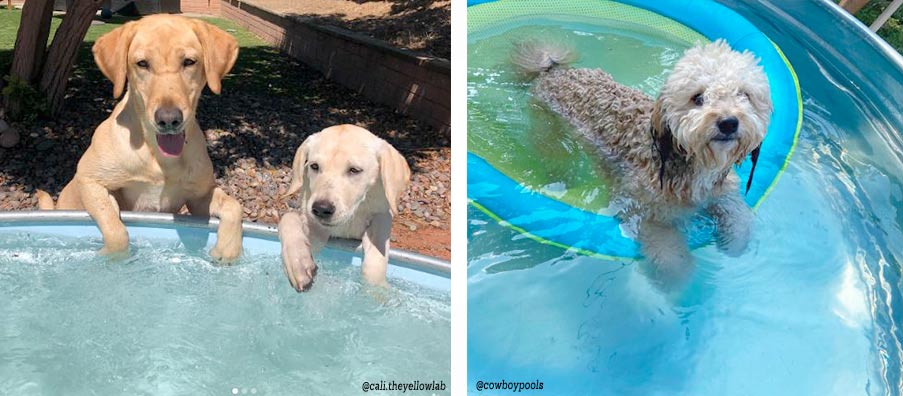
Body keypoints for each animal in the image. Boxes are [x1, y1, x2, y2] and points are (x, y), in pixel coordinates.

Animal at [36, 15, 244, 262]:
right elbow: (116, 232)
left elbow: (234, 206)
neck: (158, 158)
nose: (168, 120)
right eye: (142, 63)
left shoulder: (200, 197)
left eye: (189, 61)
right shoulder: (89, 180)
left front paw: (226, 251)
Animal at [278, 124, 414, 290]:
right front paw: (298, 261)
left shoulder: (383, 214)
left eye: (354, 170)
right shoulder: (314, 228)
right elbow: (288, 218)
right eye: (314, 166)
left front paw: (375, 284)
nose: (321, 209)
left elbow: (377, 251)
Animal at [512, 41, 772, 276]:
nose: (729, 122)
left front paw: (735, 243)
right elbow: (671, 259)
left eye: (744, 95)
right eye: (698, 97)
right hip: (547, 131)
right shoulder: (645, 212)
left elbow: (738, 218)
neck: (691, 161)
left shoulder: (723, 191)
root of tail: (553, 71)